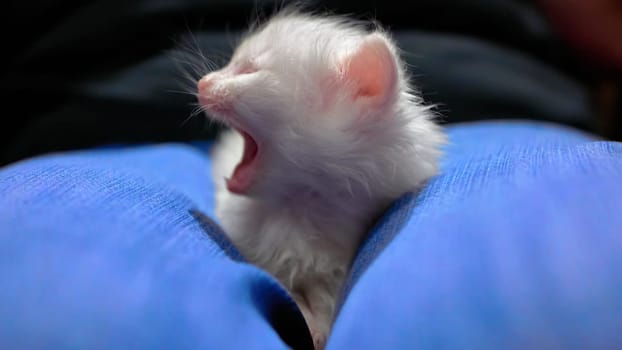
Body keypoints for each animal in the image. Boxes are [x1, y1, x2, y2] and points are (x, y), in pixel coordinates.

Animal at [197, 9, 446, 348]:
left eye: (251, 69)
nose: (202, 82)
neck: (299, 206)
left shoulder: (333, 269)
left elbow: (324, 301)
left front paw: (319, 328)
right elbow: (285, 290)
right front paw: (306, 320)